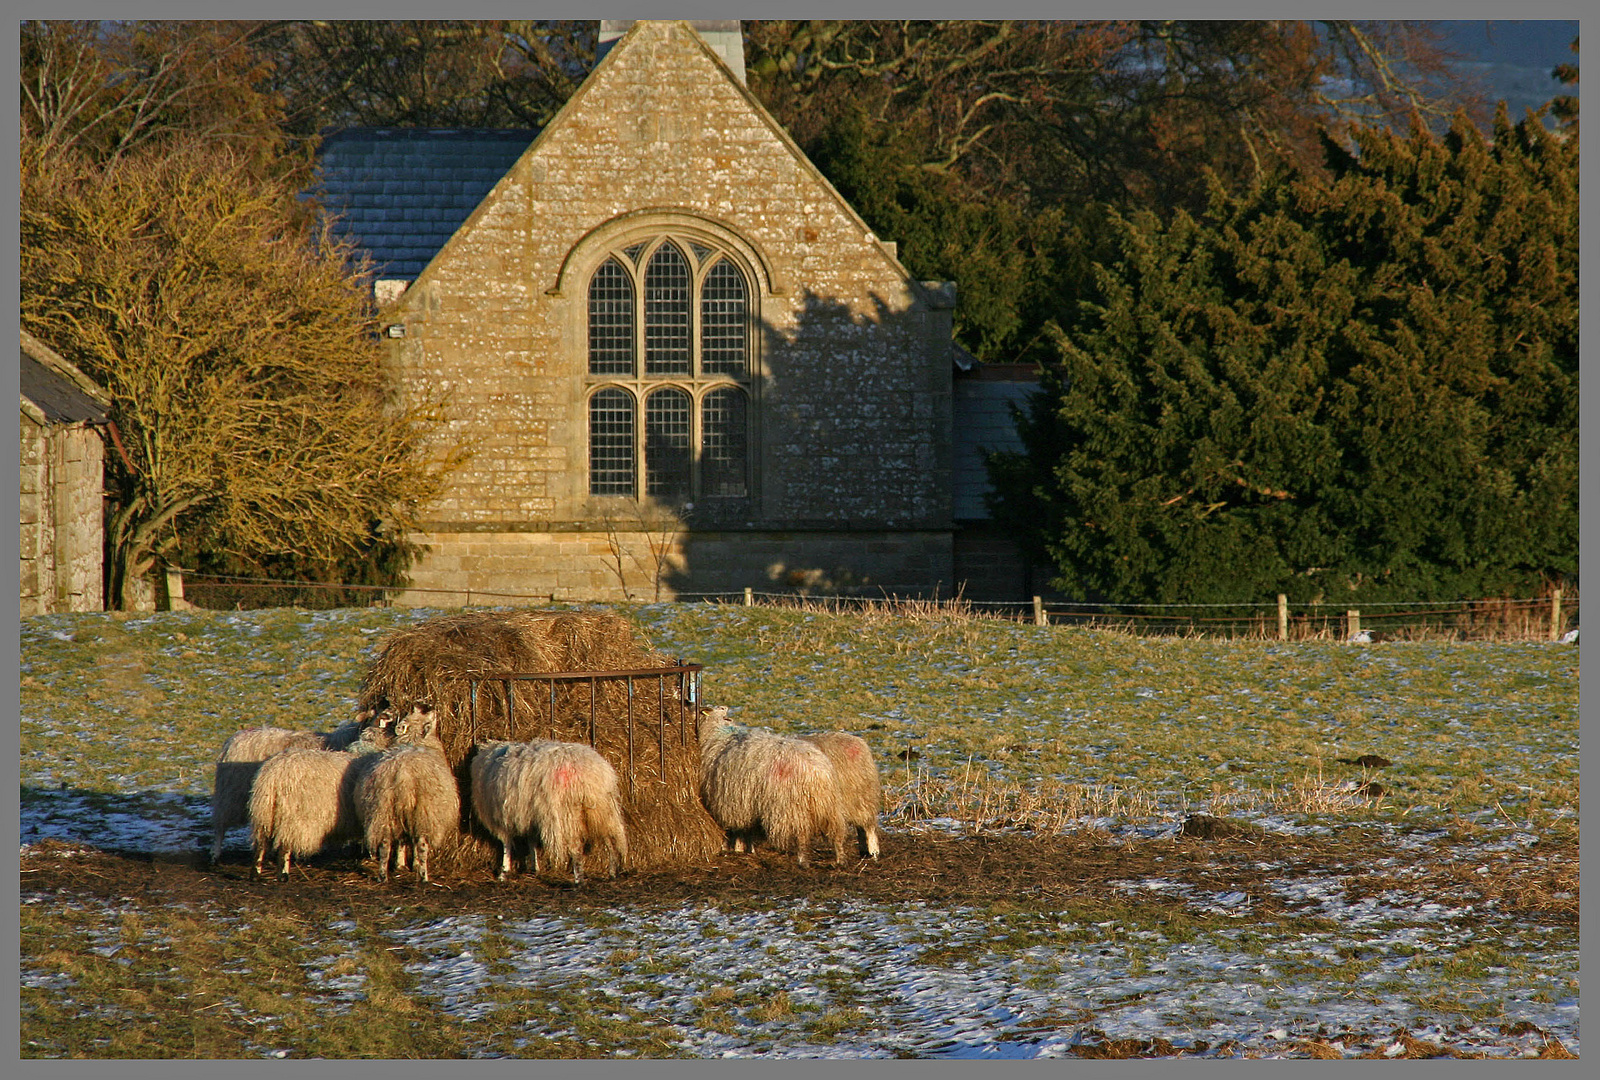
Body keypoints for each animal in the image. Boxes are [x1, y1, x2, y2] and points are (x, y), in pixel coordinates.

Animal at [356, 700, 464, 889]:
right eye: (428, 718)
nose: (431, 707)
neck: (414, 740)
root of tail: (403, 774)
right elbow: (413, 842)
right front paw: (413, 865)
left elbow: (401, 841)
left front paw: (400, 865)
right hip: (424, 811)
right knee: (421, 844)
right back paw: (423, 876)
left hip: (384, 810)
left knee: (385, 844)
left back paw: (383, 875)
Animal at [467, 742, 627, 889]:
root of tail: (591, 774)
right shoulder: (529, 815)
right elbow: (531, 840)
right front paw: (534, 867)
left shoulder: (503, 816)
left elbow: (506, 843)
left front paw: (504, 873)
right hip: (603, 811)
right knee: (610, 841)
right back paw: (612, 872)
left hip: (567, 813)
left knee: (576, 847)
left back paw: (579, 881)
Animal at [700, 704, 851, 864]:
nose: (724, 707)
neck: (718, 732)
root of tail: (817, 772)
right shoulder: (747, 805)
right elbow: (748, 830)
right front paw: (748, 849)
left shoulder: (726, 802)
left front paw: (731, 847)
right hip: (829, 805)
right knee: (837, 832)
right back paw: (840, 859)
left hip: (791, 806)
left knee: (802, 833)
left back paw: (803, 860)